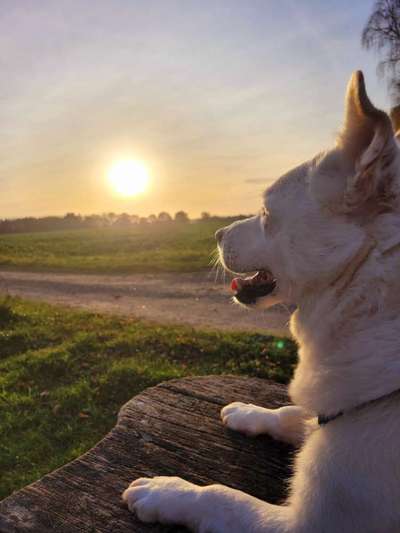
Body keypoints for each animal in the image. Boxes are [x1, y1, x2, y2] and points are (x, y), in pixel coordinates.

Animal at [122, 71, 400, 532]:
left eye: (267, 213)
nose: (216, 234)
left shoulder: (310, 523)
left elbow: (223, 496)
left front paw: (166, 491)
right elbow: (292, 412)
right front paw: (250, 413)